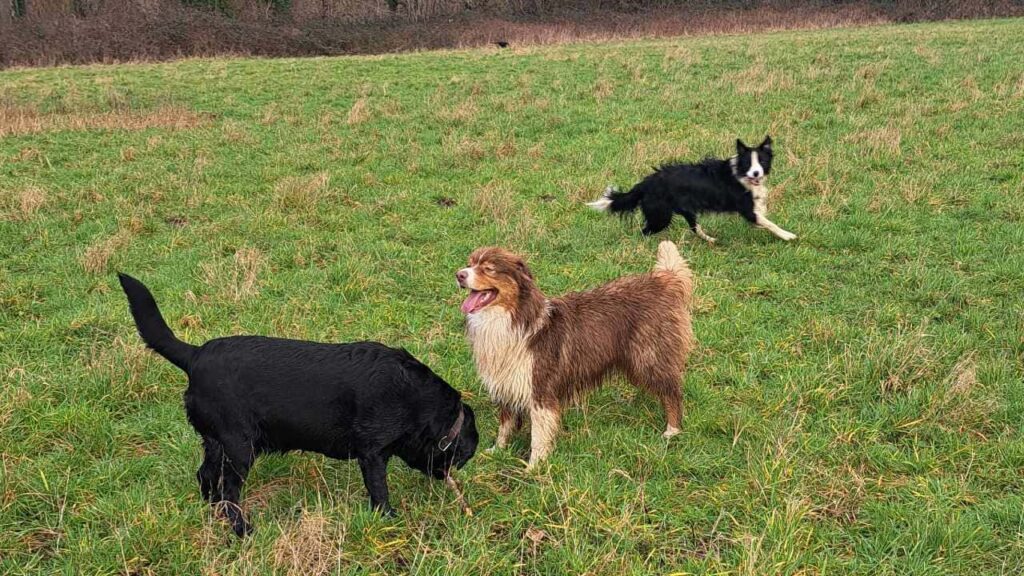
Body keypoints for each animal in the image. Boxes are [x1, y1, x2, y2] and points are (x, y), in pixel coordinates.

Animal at [458, 239, 692, 469]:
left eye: (489, 269)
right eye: (470, 263)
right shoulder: (506, 384)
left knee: (673, 392)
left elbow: (538, 436)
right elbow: (505, 425)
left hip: (648, 358)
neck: (513, 319)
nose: (459, 274)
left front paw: (533, 468)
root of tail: (663, 281)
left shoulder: (540, 390)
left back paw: (672, 430)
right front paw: (497, 451)